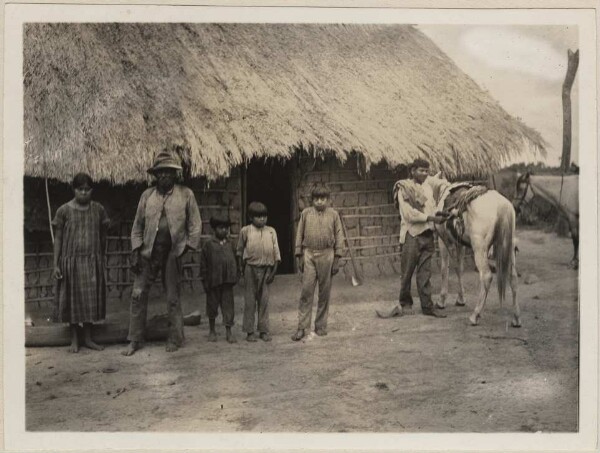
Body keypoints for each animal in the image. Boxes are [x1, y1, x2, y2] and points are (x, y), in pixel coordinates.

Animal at [426, 172, 520, 324]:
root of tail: (502, 205)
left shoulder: (444, 241)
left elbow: (444, 270)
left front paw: (441, 300)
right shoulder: (460, 244)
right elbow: (459, 269)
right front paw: (461, 299)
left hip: (479, 249)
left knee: (486, 276)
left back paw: (475, 314)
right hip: (509, 248)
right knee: (513, 278)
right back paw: (516, 317)